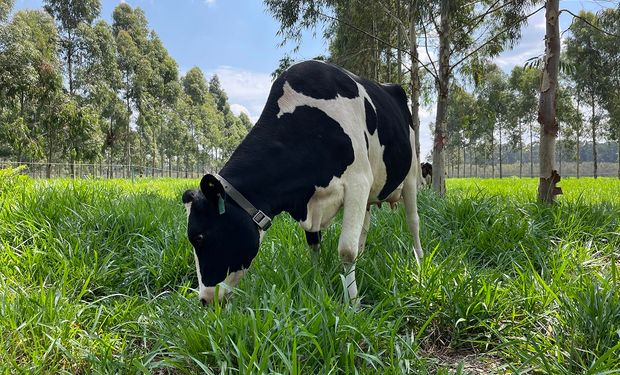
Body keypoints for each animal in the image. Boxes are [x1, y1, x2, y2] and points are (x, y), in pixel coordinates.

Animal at [182, 59, 424, 306]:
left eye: (199, 237)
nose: (204, 299)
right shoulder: (313, 200)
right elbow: (314, 243)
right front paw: (316, 283)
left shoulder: (358, 182)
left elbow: (346, 250)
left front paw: (353, 303)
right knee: (365, 226)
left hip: (412, 172)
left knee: (413, 220)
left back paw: (420, 263)